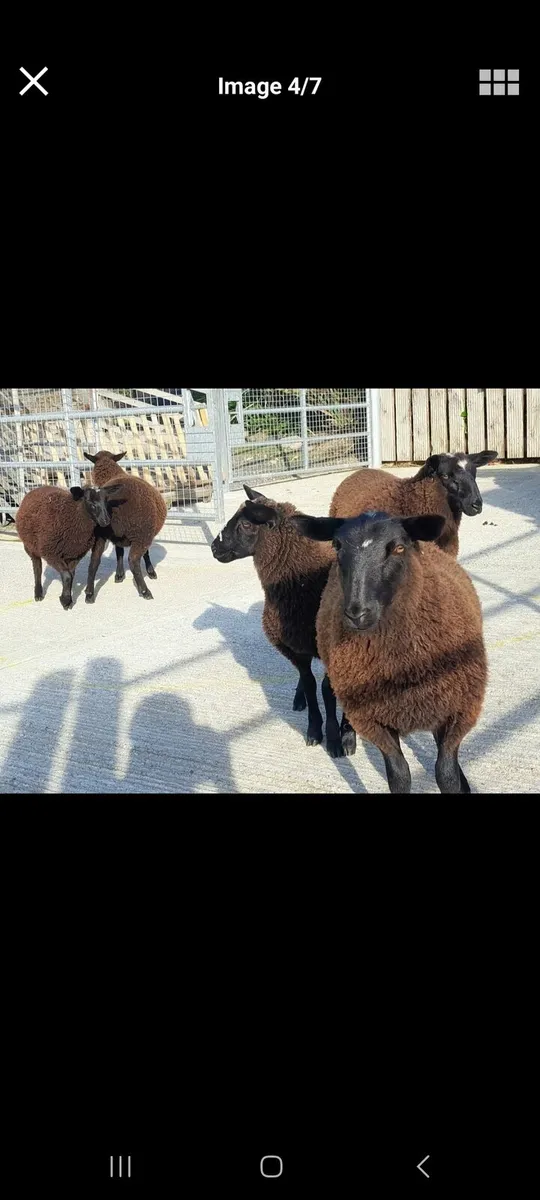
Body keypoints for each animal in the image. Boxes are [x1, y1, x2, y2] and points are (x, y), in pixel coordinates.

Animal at [83, 451, 167, 600]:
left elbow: (119, 552)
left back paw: (89, 593)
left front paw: (119, 574)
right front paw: (150, 571)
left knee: (93, 562)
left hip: (100, 534)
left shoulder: (117, 537)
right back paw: (145, 591)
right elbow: (144, 553)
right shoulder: (145, 533)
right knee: (133, 561)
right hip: (141, 532)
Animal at [211, 484, 349, 756]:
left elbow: (327, 690)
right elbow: (309, 683)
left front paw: (336, 739)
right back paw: (298, 699)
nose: (213, 548)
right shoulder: (294, 647)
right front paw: (314, 730)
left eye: (246, 524)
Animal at [290, 509, 487, 793]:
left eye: (399, 548)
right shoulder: (373, 720)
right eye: (337, 546)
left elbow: (446, 773)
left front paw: (459, 781)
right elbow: (399, 775)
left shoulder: (459, 709)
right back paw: (341, 737)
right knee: (327, 685)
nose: (357, 613)